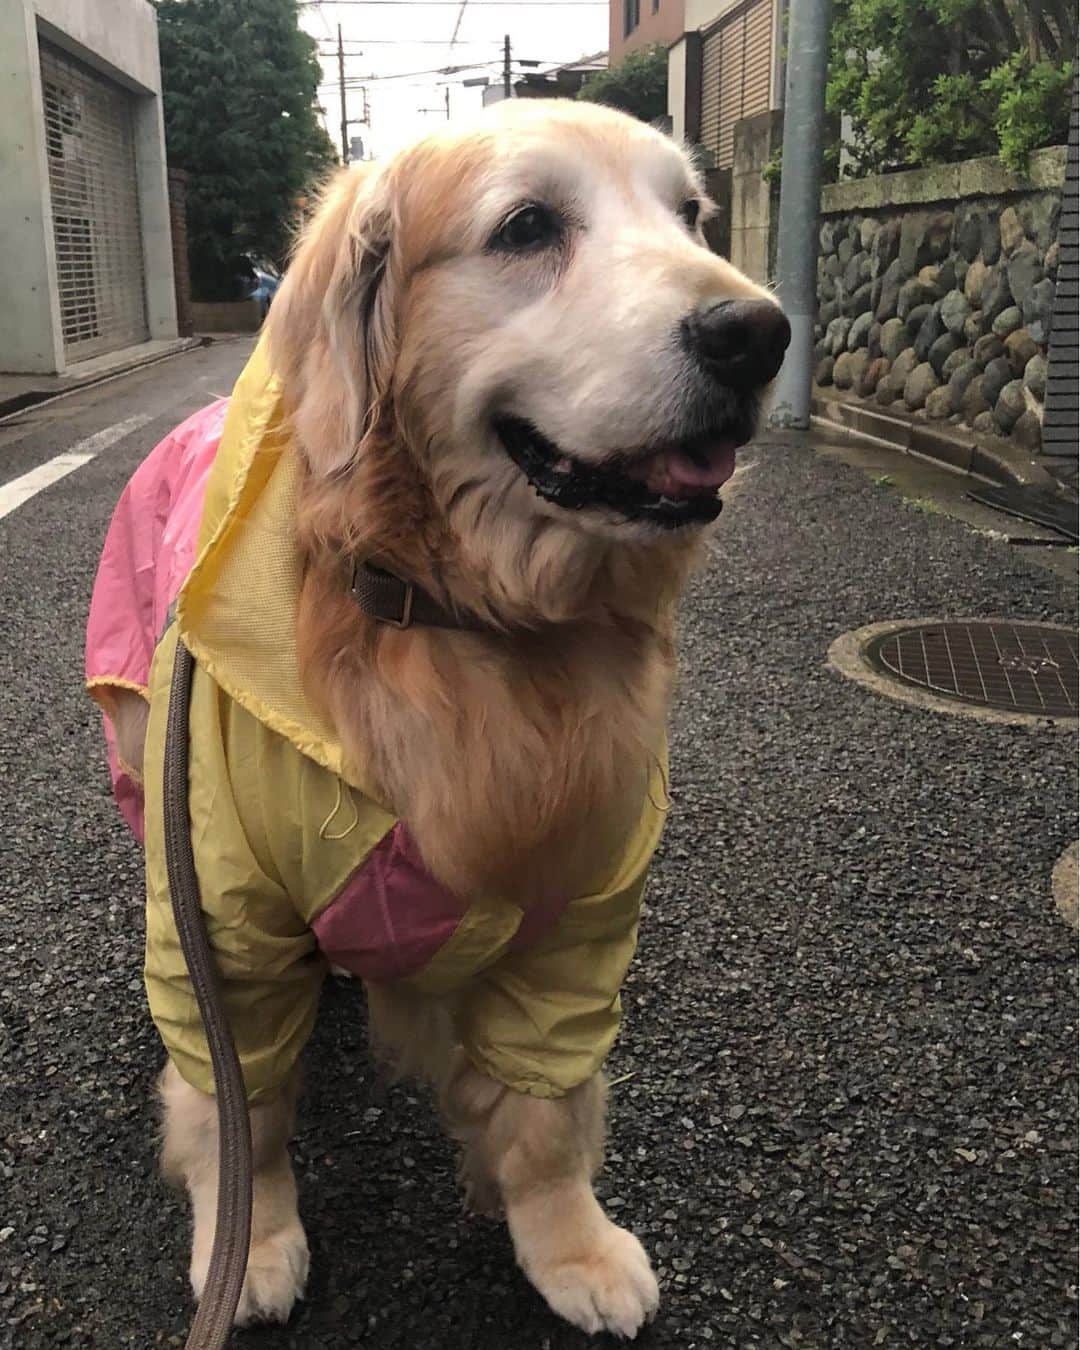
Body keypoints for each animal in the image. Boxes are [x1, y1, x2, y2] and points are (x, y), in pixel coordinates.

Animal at [84, 97, 788, 1339]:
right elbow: (237, 1104)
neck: (457, 618)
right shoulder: (222, 917)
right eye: (527, 227)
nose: (758, 333)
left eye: (692, 214)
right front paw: (248, 1241)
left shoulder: (580, 908)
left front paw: (568, 1245)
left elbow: (548, 1112)